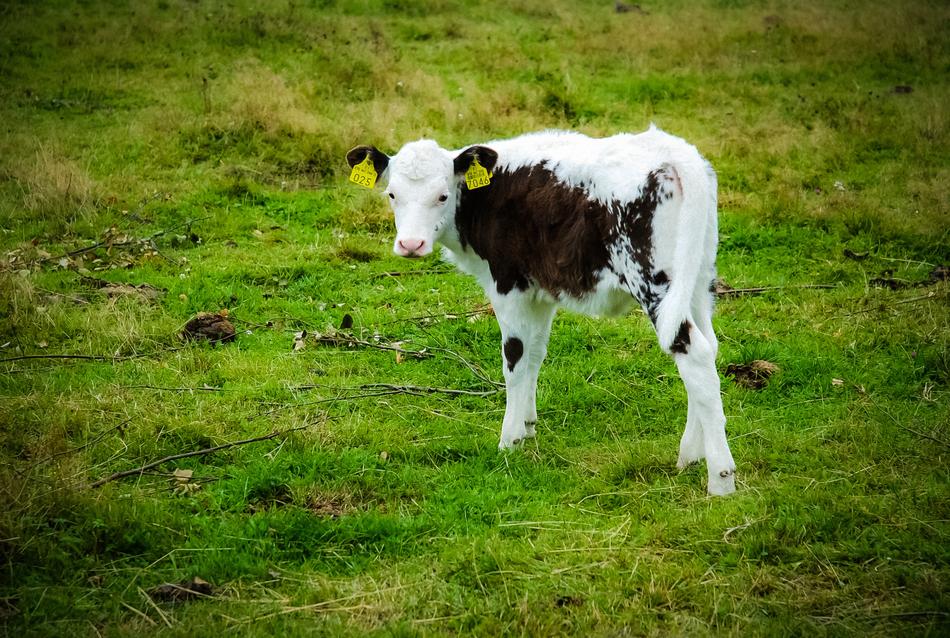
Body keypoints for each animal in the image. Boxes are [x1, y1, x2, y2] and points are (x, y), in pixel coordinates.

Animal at [346, 126, 736, 495]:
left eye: (442, 195)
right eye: (392, 194)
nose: (411, 244)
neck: (485, 195)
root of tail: (676, 154)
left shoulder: (508, 285)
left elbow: (515, 361)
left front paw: (509, 440)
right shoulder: (541, 290)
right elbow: (535, 354)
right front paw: (528, 426)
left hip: (654, 281)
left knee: (692, 352)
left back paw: (721, 478)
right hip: (696, 278)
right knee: (707, 349)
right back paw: (691, 454)